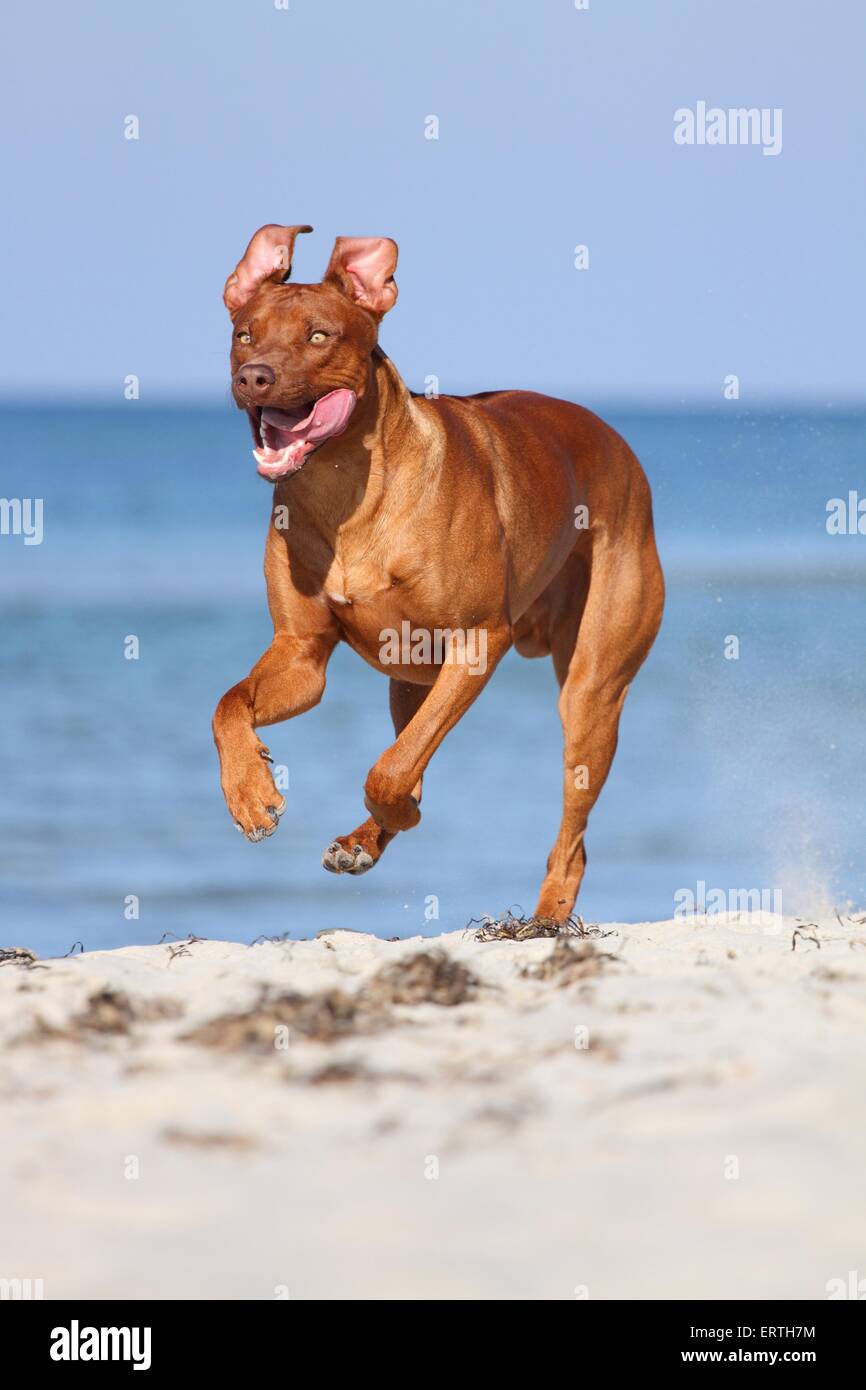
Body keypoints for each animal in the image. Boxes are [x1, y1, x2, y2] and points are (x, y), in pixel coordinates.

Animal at [215, 225, 664, 922]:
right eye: (244, 333)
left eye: (318, 336)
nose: (254, 376)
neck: (346, 489)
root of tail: (618, 443)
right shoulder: (301, 654)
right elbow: (228, 703)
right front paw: (248, 790)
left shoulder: (479, 642)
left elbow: (391, 773)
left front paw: (395, 809)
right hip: (410, 678)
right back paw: (365, 838)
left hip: (592, 688)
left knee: (572, 832)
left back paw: (545, 916)